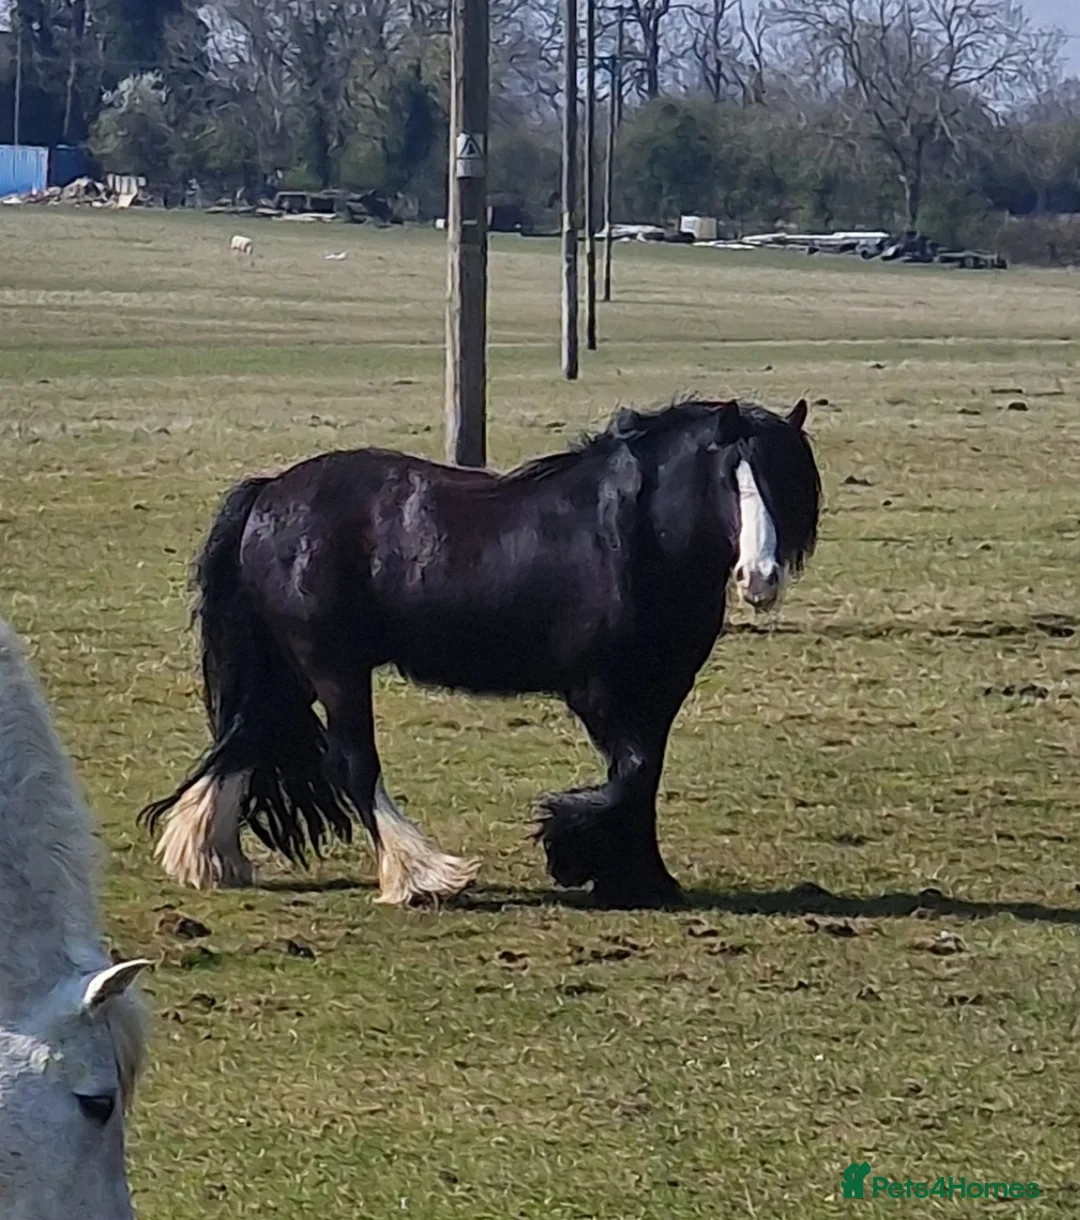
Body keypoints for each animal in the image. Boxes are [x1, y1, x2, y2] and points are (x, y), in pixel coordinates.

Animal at [140, 395, 821, 908]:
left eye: (785, 481)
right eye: (729, 478)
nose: (760, 578)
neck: (632, 540)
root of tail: (268, 494)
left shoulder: (660, 690)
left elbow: (645, 775)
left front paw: (641, 877)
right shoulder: (597, 691)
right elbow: (628, 773)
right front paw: (573, 848)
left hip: (290, 669)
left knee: (246, 736)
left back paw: (208, 857)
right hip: (333, 667)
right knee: (352, 763)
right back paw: (422, 875)